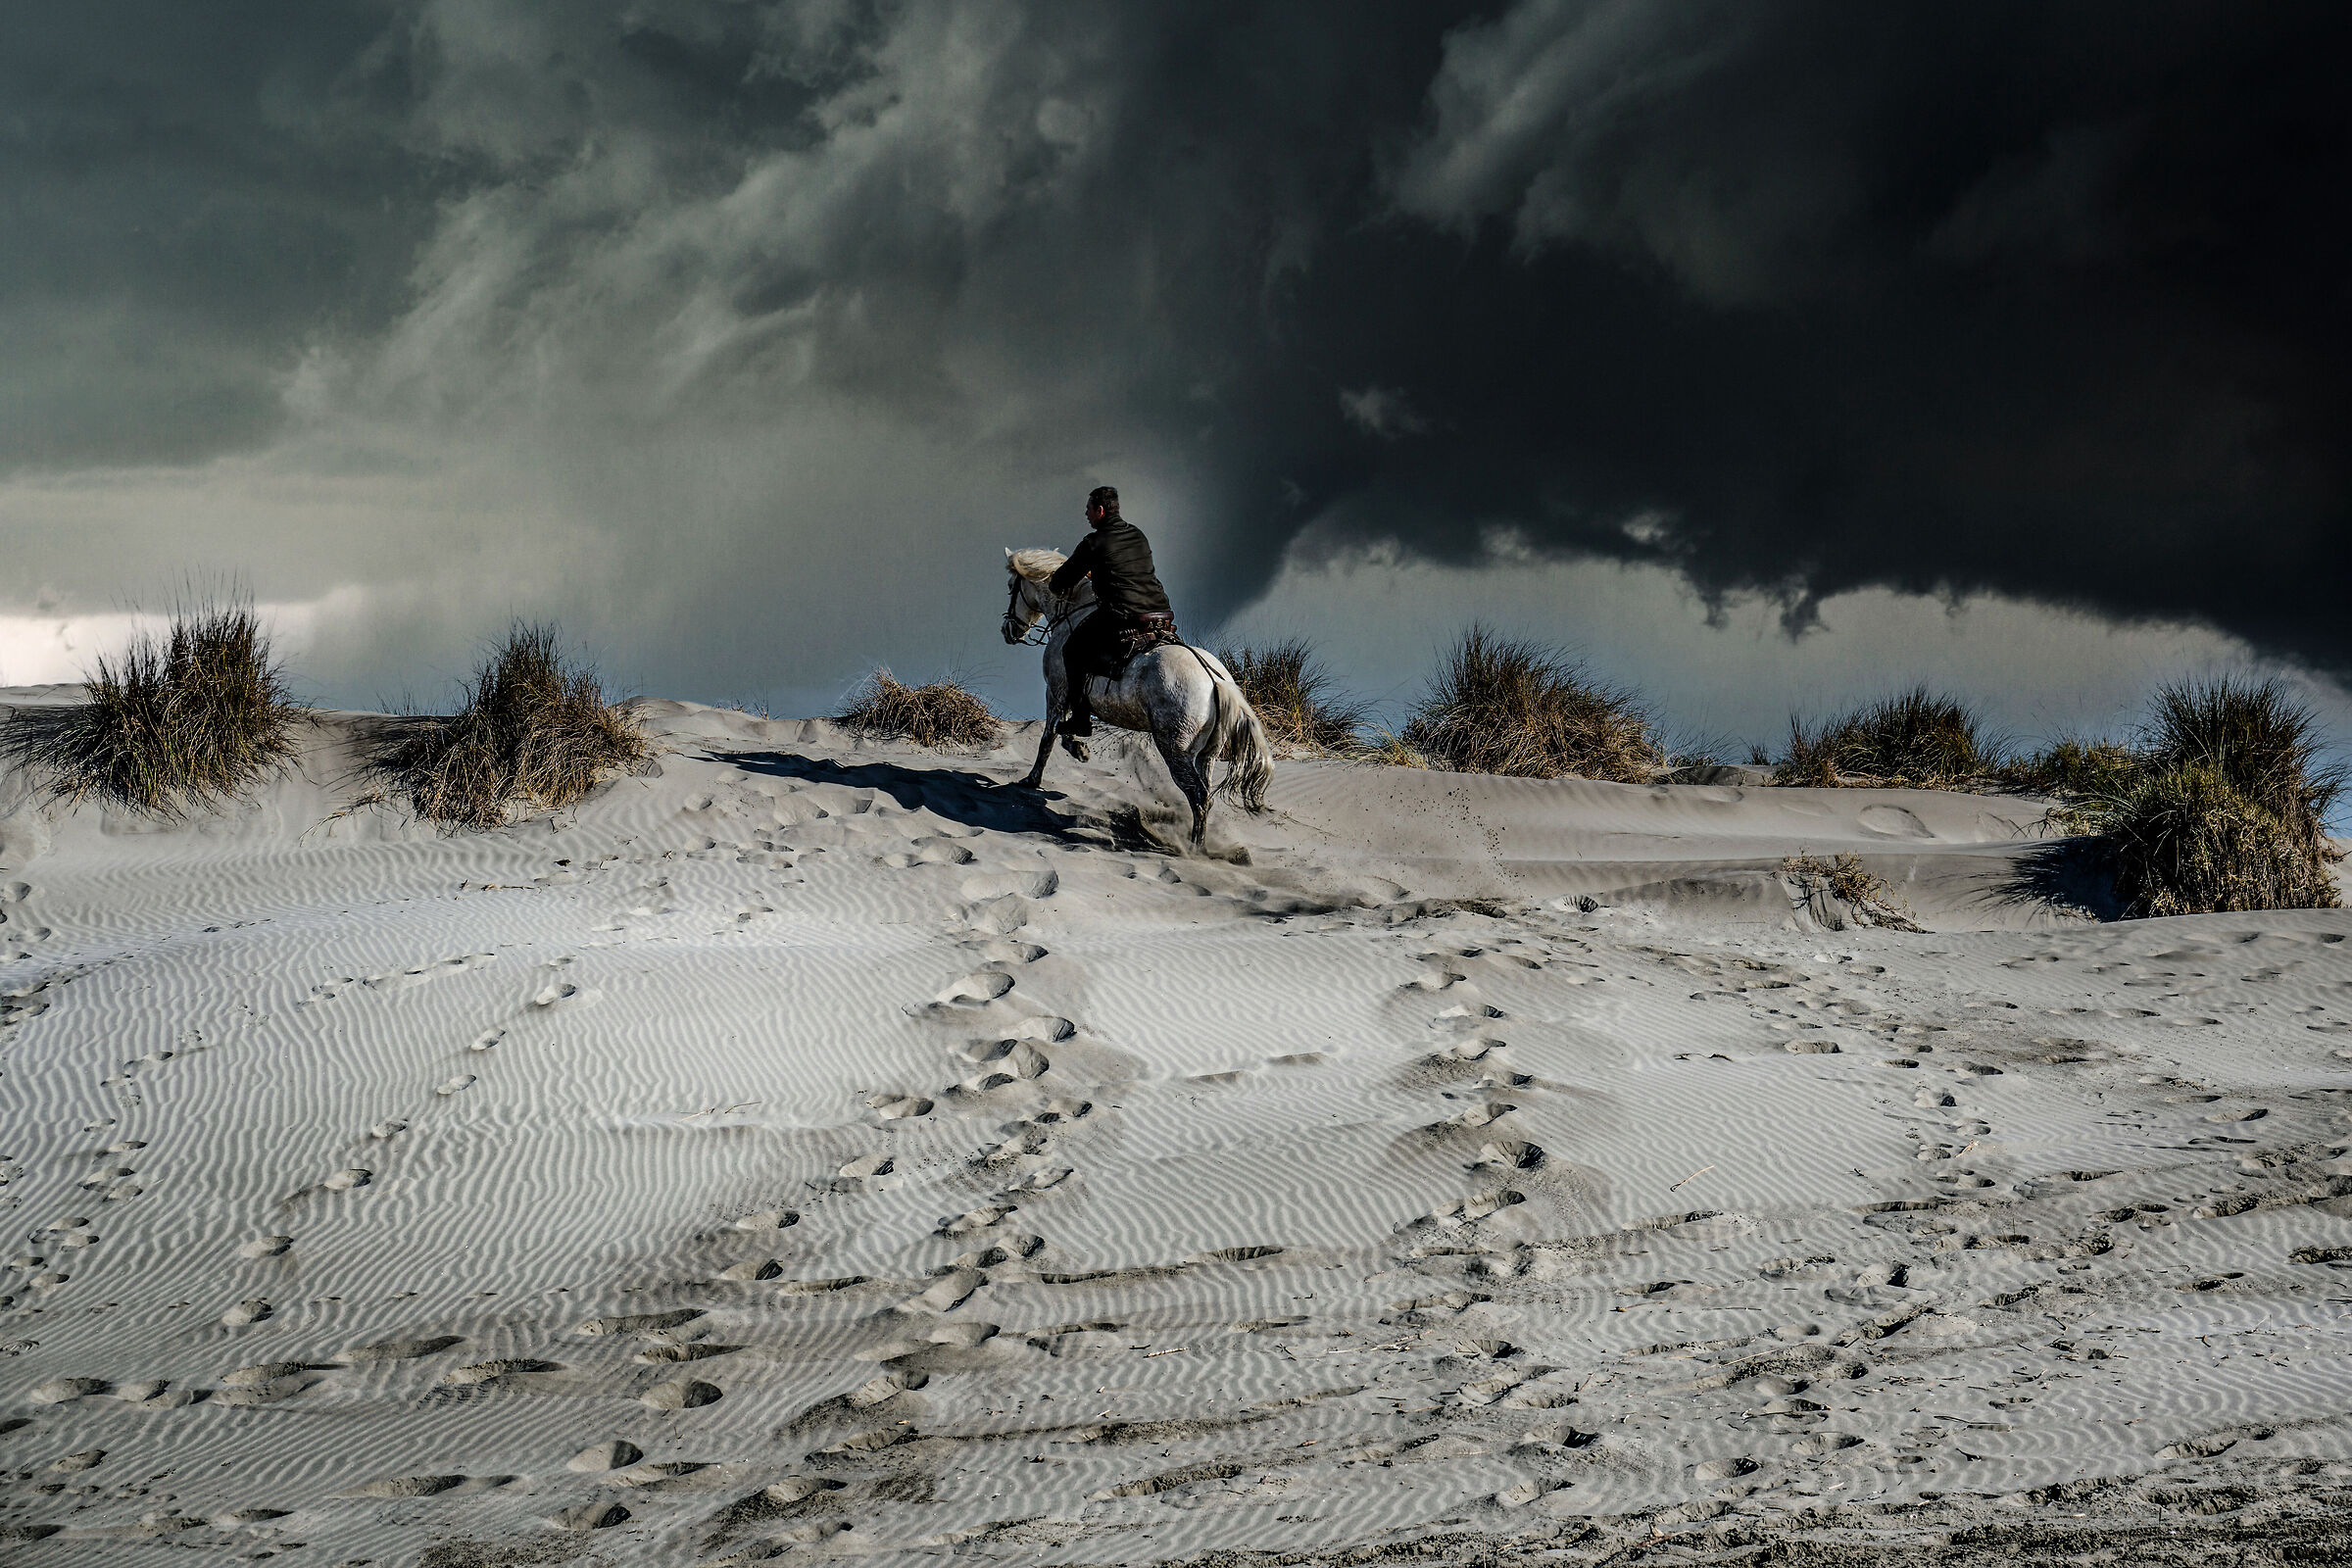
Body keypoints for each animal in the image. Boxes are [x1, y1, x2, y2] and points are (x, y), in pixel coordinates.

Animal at [1000, 548, 1272, 847]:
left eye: (1012, 587)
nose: (1008, 630)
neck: (1073, 610)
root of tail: (1214, 680)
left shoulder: (1057, 691)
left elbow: (1049, 736)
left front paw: (1034, 778)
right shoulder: (1067, 697)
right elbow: (1062, 730)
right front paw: (1078, 749)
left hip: (1175, 749)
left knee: (1199, 797)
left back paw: (1194, 848)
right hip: (1209, 754)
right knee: (1206, 794)